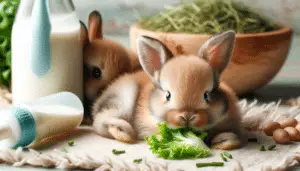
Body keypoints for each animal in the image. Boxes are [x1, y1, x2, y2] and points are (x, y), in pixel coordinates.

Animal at [91, 30, 246, 150]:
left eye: (207, 95)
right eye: (167, 95)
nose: (187, 116)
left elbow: (235, 138)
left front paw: (221, 142)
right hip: (124, 98)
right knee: (101, 121)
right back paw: (125, 134)